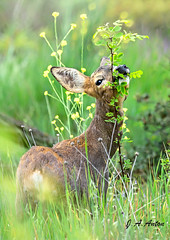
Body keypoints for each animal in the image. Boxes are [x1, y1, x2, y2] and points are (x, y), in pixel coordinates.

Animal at [15, 56, 130, 218]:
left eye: (113, 65)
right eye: (98, 81)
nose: (122, 68)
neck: (102, 147)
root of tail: (34, 172)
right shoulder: (99, 184)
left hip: (21, 200)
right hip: (59, 199)